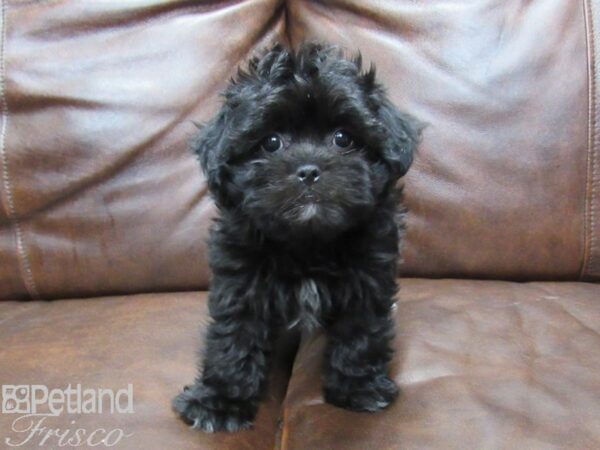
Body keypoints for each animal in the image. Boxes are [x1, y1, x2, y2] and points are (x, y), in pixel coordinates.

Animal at [173, 43, 422, 432]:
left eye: (343, 138)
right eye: (271, 142)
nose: (308, 170)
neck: (308, 242)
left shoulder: (370, 272)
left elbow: (361, 330)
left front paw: (359, 387)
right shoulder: (240, 277)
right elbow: (235, 334)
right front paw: (221, 401)